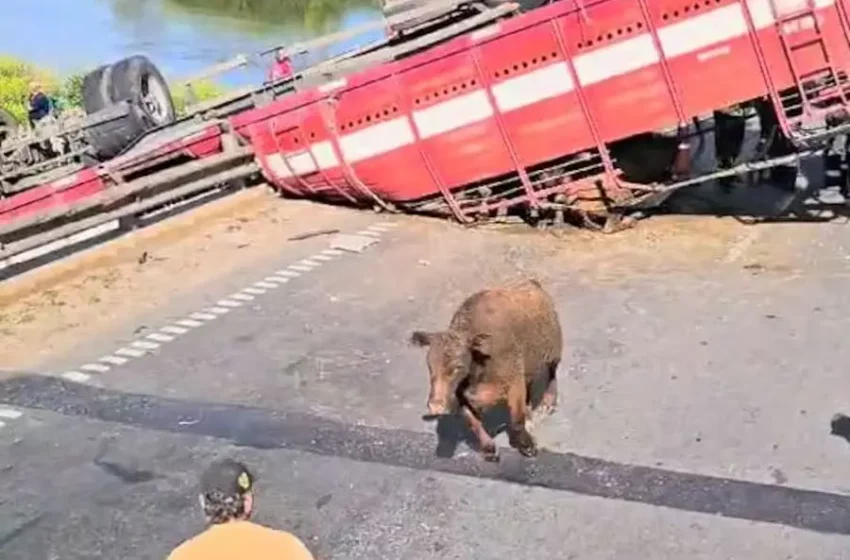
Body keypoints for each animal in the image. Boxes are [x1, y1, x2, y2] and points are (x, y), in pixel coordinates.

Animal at [408, 278, 560, 462]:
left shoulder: (514, 382)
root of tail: (531, 282)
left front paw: (527, 445)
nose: (435, 406)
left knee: (552, 373)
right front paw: (488, 448)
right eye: (430, 365)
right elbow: (473, 422)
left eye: (458, 366)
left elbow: (517, 419)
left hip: (553, 351)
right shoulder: (461, 397)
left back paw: (548, 402)